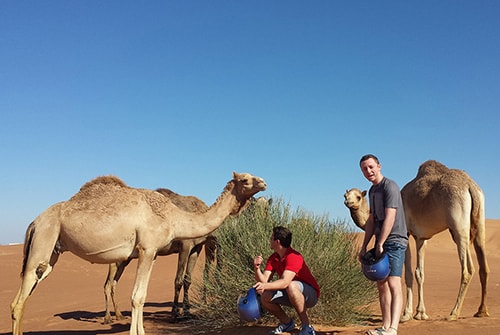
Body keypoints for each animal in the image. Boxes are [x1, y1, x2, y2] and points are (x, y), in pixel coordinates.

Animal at [103, 188, 215, 324]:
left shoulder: (196, 248)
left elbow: (187, 280)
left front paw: (188, 313)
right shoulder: (185, 246)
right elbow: (178, 280)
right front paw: (174, 314)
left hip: (125, 259)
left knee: (113, 283)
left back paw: (119, 315)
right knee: (108, 284)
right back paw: (107, 318)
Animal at [344, 161, 488, 324]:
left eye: (358, 197)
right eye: (345, 195)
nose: (348, 201)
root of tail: (470, 185)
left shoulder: (405, 234)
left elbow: (407, 274)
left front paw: (406, 314)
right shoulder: (421, 238)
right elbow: (420, 273)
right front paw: (420, 313)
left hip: (458, 226)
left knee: (467, 269)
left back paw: (453, 313)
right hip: (479, 221)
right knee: (483, 266)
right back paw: (481, 311)